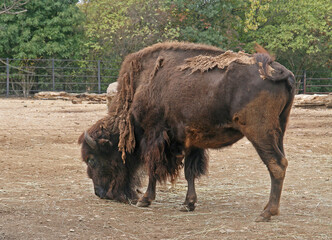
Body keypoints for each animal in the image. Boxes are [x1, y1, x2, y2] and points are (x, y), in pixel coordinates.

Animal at [78, 42, 296, 222]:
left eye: (92, 160)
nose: (100, 193)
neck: (141, 84)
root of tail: (281, 70)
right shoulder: (192, 141)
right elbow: (189, 172)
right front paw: (188, 204)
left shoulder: (154, 136)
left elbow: (152, 167)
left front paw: (145, 200)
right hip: (279, 130)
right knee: (282, 162)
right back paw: (269, 208)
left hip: (259, 132)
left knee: (276, 164)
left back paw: (266, 213)